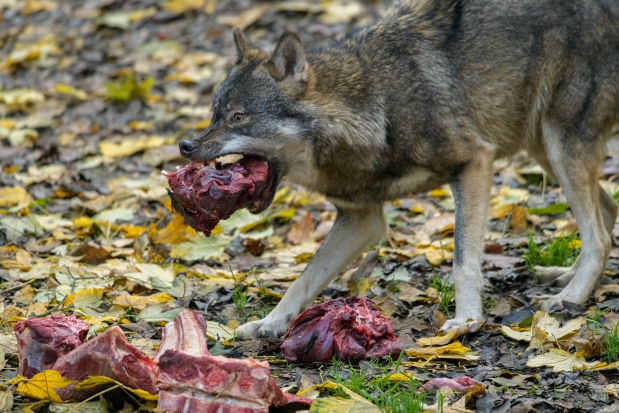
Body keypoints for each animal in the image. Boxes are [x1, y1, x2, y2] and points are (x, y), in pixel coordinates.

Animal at [177, 0, 619, 336]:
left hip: (559, 147)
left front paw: (466, 321)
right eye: (214, 114)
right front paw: (268, 324)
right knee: (606, 215)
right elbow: (304, 279)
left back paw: (570, 298)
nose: (185, 146)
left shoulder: (474, 162)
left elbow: (463, 262)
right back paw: (565, 278)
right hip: (545, 149)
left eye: (239, 117)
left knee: (598, 235)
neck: (377, 109)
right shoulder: (361, 219)